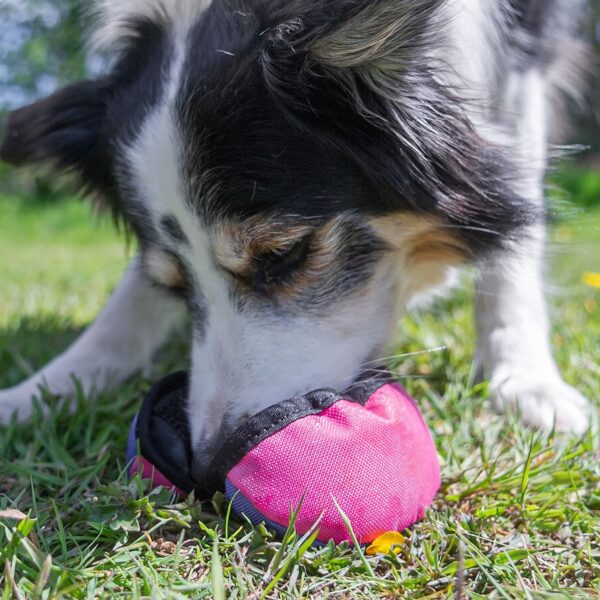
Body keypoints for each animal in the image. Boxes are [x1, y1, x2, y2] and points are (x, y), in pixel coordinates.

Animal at [0, 1, 592, 478]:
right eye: (173, 285)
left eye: (283, 255)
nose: (209, 462)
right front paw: (50, 387)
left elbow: (516, 215)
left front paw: (527, 378)